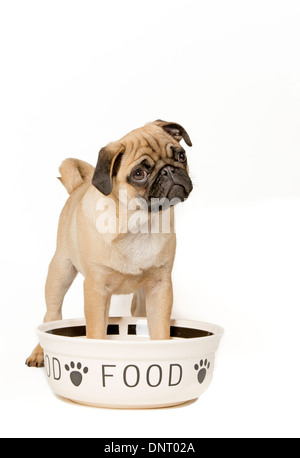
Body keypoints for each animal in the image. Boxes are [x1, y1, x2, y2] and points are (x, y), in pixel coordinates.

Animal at [27, 120, 193, 366]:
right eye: (139, 174)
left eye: (181, 156)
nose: (169, 170)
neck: (139, 225)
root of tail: (78, 187)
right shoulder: (96, 290)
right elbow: (96, 333)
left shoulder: (160, 288)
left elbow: (160, 329)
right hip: (60, 271)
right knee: (51, 315)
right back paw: (39, 352)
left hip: (142, 298)